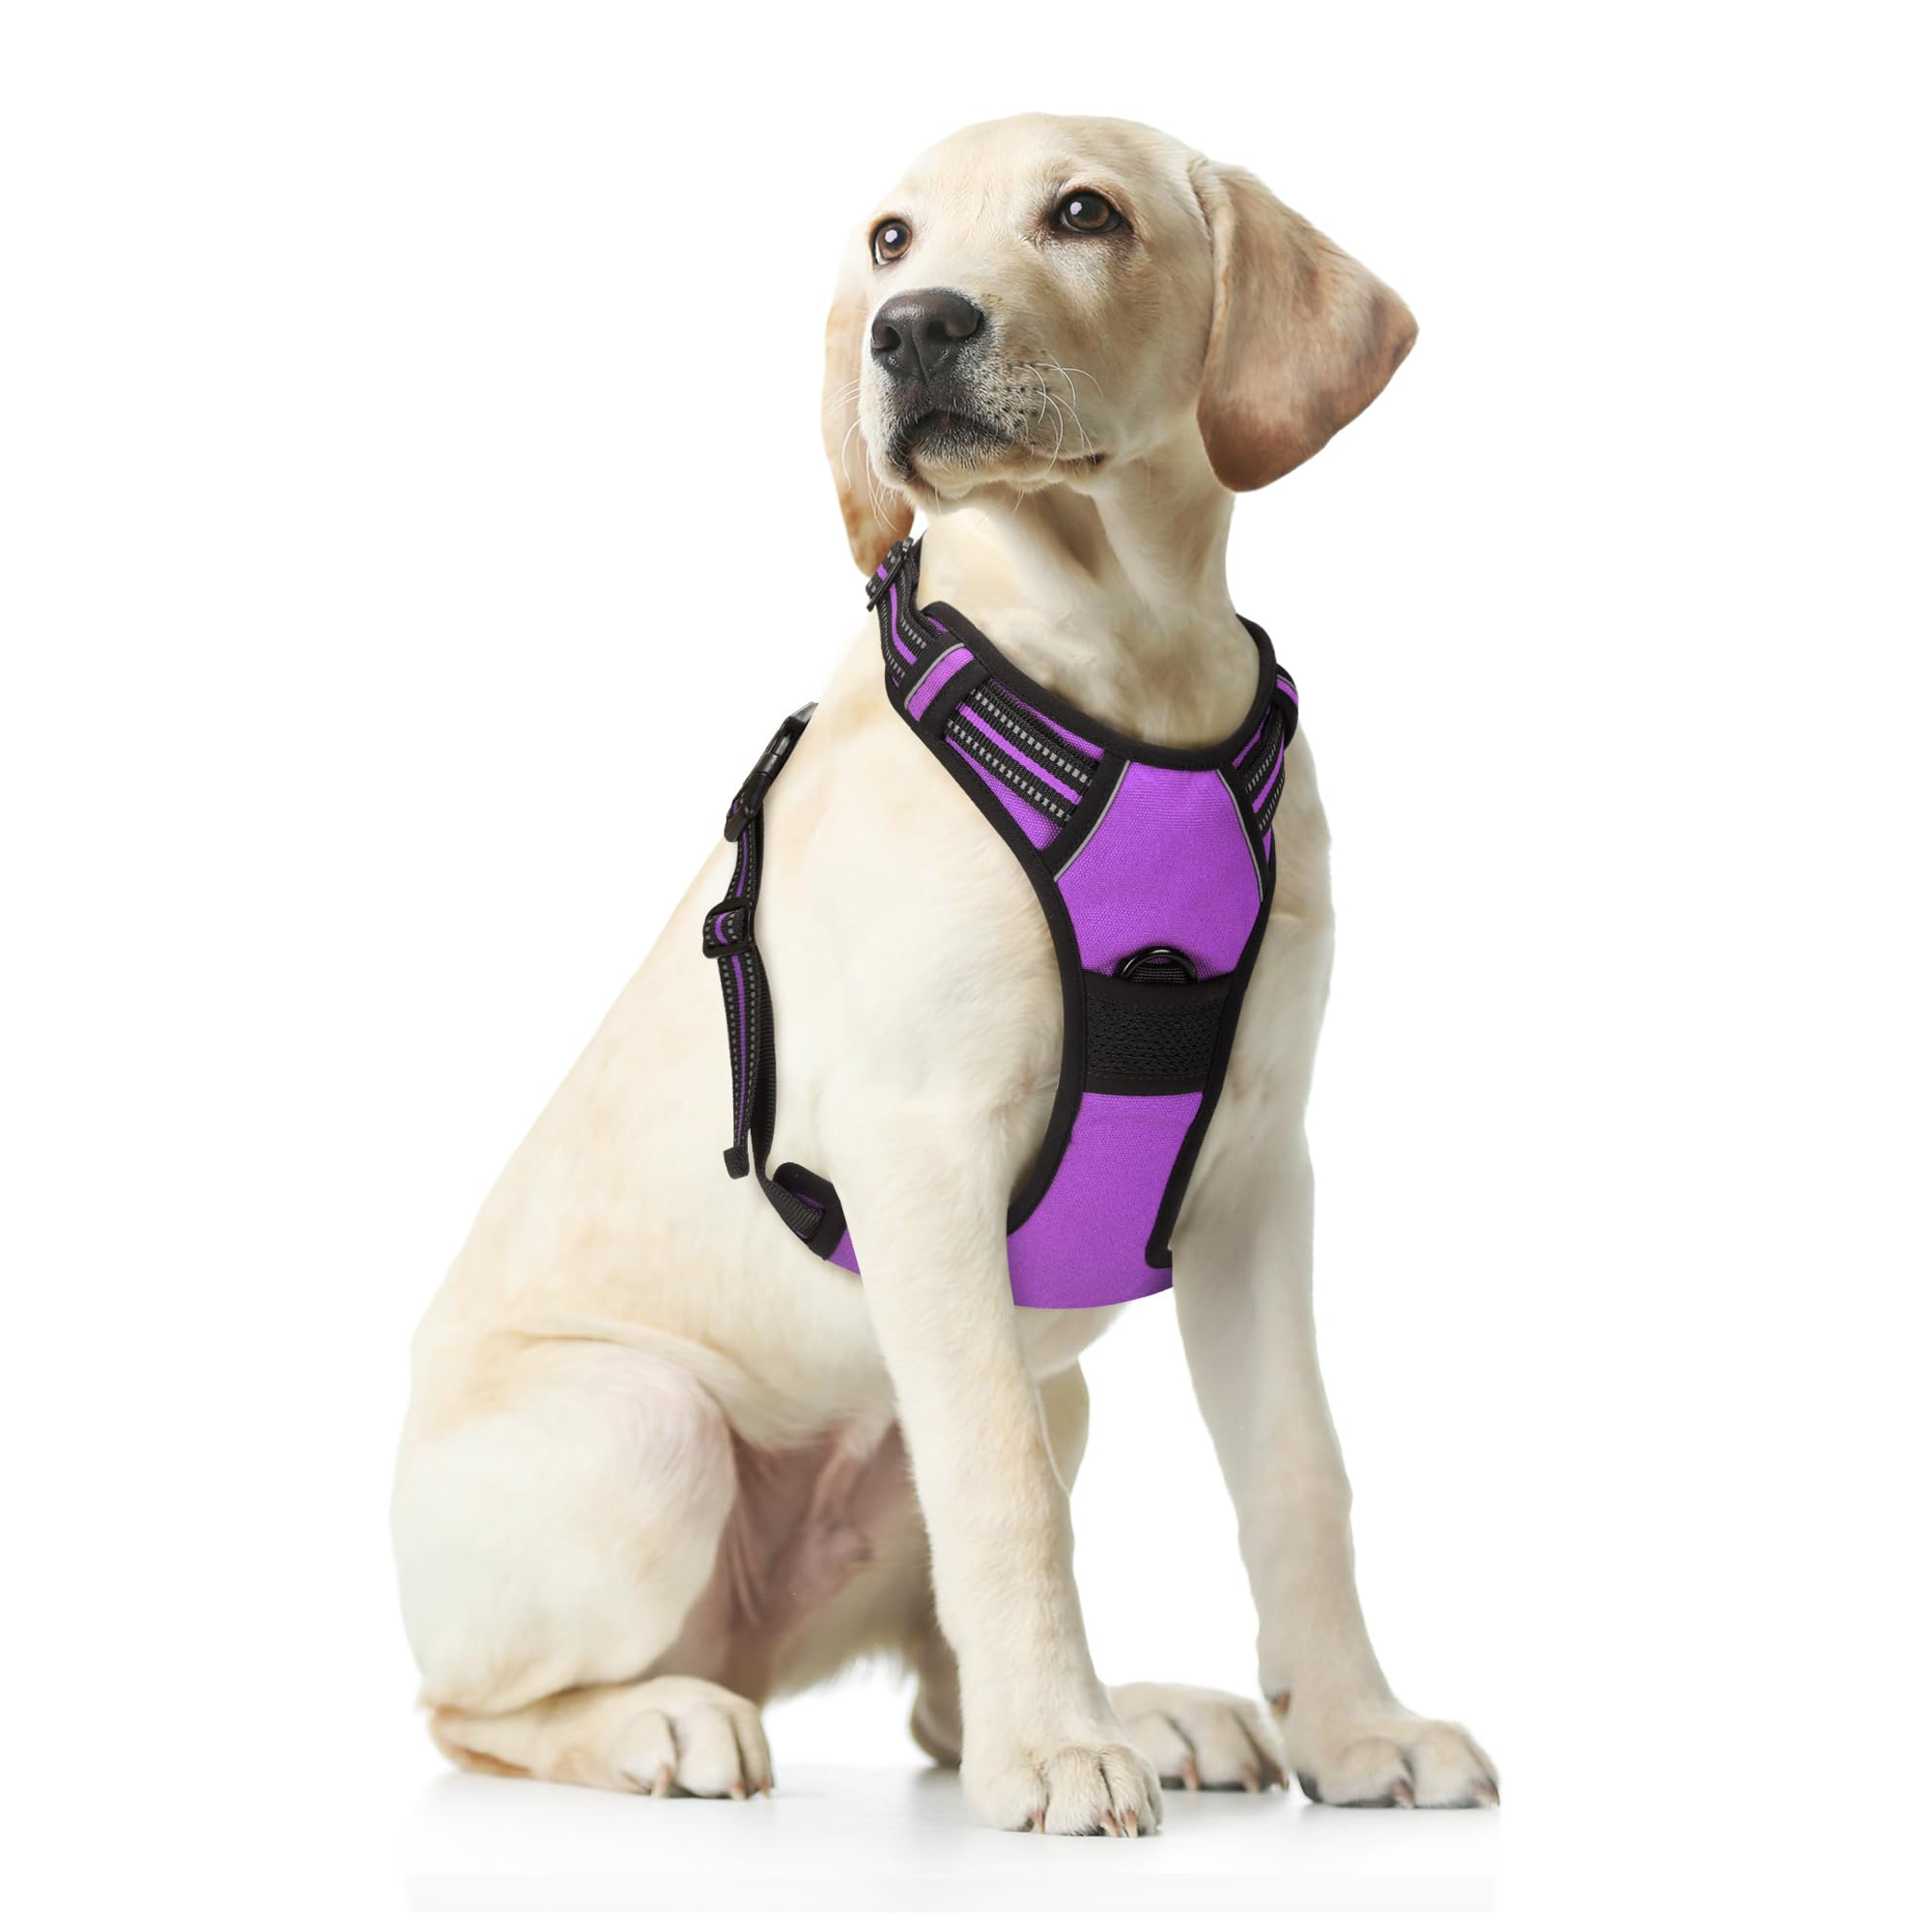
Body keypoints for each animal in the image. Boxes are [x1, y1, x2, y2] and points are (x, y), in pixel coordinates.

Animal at [392, 112, 1496, 1836]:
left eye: (1085, 213)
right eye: (891, 243)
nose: (910, 333)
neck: (1122, 671)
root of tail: (752, 1638)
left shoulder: (1260, 1177)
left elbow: (1299, 1473)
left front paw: (1358, 1730)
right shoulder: (923, 1158)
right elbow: (1002, 1493)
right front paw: (1054, 1757)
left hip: (1053, 1394)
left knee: (926, 1689)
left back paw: (1151, 1713)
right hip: (647, 1432)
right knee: (468, 1712)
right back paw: (666, 1724)